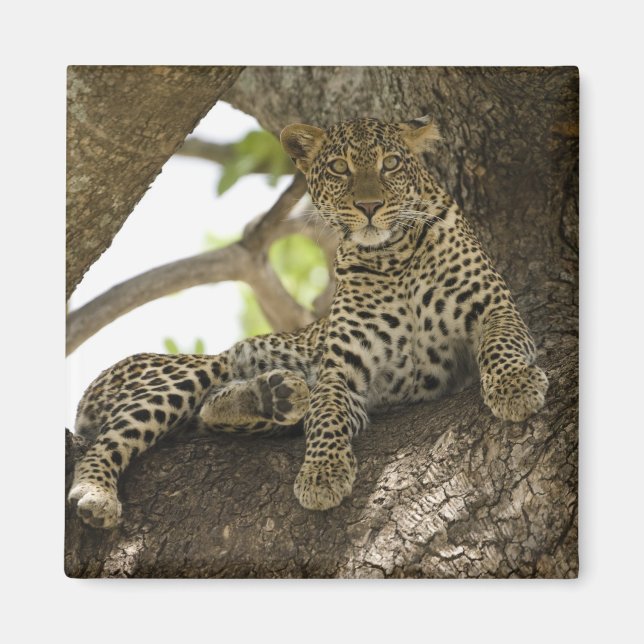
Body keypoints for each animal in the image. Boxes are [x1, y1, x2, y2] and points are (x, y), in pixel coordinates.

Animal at [68, 115, 548, 528]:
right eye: (339, 168)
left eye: (390, 164)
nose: (369, 206)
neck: (392, 257)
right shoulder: (342, 369)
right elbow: (327, 414)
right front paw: (322, 474)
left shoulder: (494, 307)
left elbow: (501, 344)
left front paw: (515, 388)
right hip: (185, 372)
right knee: (113, 439)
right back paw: (97, 494)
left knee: (212, 411)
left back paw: (274, 394)